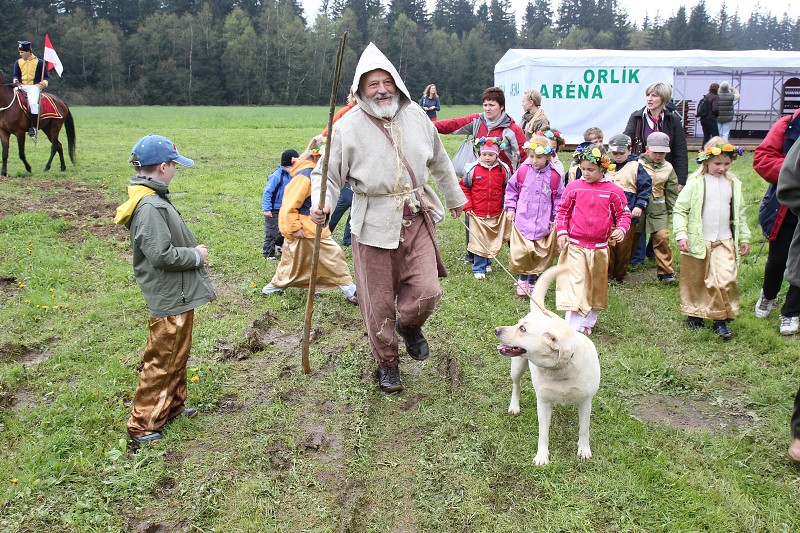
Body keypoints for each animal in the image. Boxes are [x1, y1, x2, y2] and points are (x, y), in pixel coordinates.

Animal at [494, 264, 600, 464]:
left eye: (522, 329)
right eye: (519, 325)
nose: (496, 329)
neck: (561, 369)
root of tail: (540, 310)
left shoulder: (586, 402)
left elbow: (584, 429)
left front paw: (583, 450)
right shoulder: (543, 403)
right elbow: (543, 433)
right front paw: (541, 456)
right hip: (517, 367)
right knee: (516, 386)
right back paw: (514, 406)